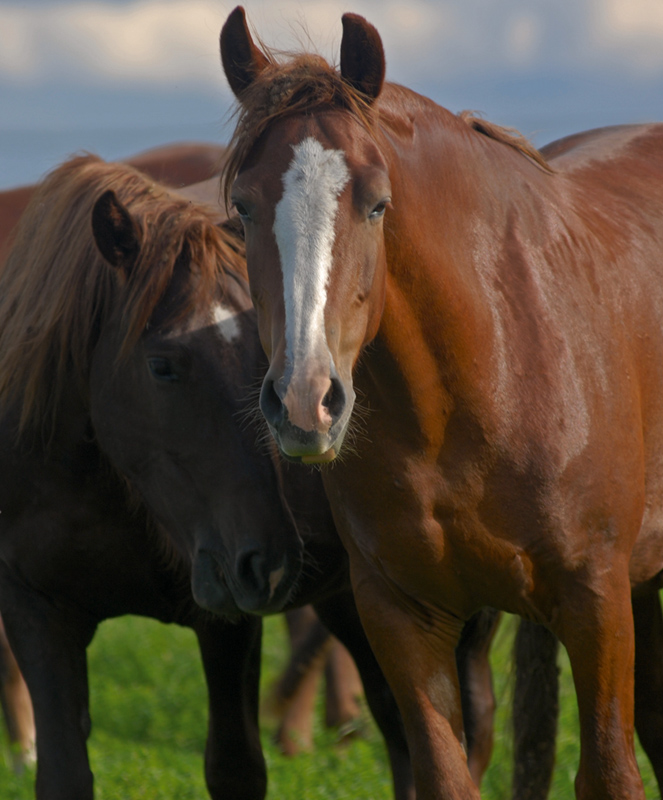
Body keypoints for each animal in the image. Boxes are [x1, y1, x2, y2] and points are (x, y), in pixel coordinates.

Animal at [222, 7, 663, 800]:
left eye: (377, 202)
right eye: (242, 208)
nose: (305, 402)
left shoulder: (597, 604)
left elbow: (612, 771)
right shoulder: (403, 616)